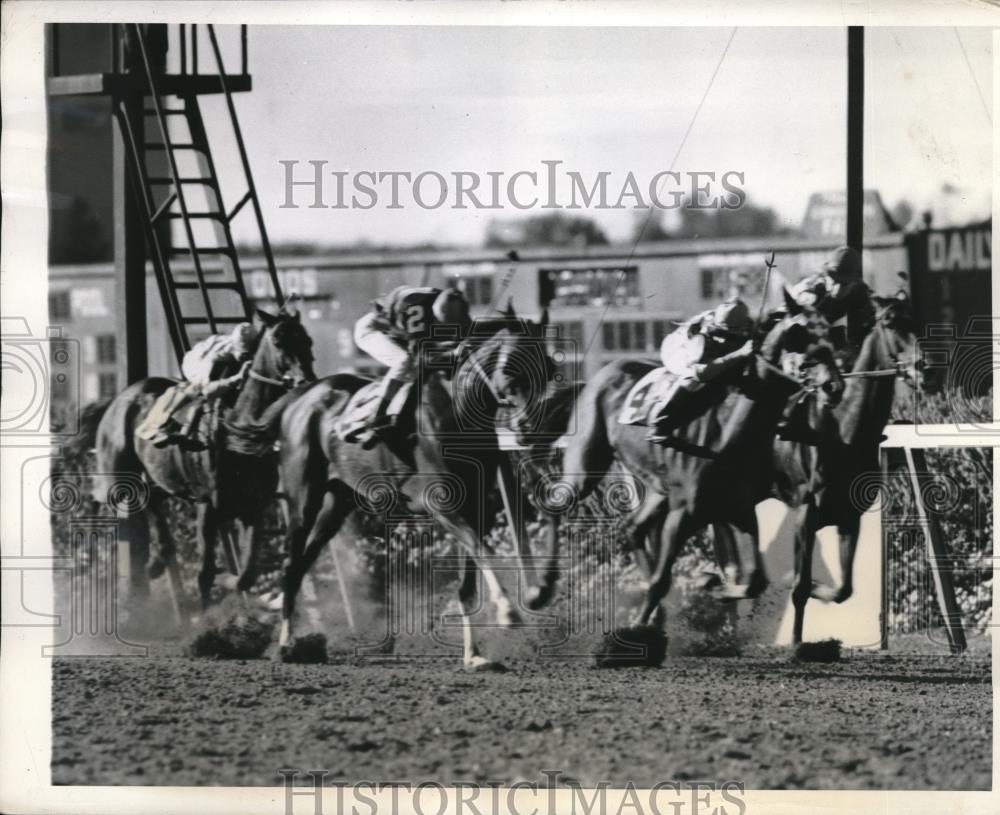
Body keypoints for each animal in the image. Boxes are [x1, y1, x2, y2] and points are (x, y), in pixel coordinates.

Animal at [93, 310, 316, 616]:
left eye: (307, 340)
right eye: (279, 342)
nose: (305, 382)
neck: (239, 429)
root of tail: (121, 396)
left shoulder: (253, 506)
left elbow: (246, 574)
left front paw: (239, 586)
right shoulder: (207, 504)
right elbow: (205, 572)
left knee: (154, 506)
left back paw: (157, 561)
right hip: (117, 473)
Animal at [278, 312, 556, 668]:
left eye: (548, 366)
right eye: (510, 369)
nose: (529, 428)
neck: (457, 409)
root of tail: (301, 397)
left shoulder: (477, 506)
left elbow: (469, 582)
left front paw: (473, 655)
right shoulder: (444, 506)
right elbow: (484, 552)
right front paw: (509, 611)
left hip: (338, 503)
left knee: (303, 562)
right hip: (303, 498)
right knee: (290, 565)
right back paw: (285, 644)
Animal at [524, 296, 844, 628]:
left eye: (830, 333)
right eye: (798, 335)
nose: (833, 386)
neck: (730, 430)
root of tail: (598, 376)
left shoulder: (737, 509)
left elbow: (755, 580)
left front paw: (713, 584)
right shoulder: (684, 513)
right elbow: (661, 581)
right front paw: (637, 628)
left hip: (657, 488)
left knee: (633, 528)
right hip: (587, 462)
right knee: (554, 502)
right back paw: (540, 590)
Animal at [768, 294, 924, 644]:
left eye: (918, 320)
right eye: (890, 322)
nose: (924, 367)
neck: (843, 431)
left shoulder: (849, 518)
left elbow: (843, 590)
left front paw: (813, 586)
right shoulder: (805, 515)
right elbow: (799, 587)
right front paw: (795, 642)